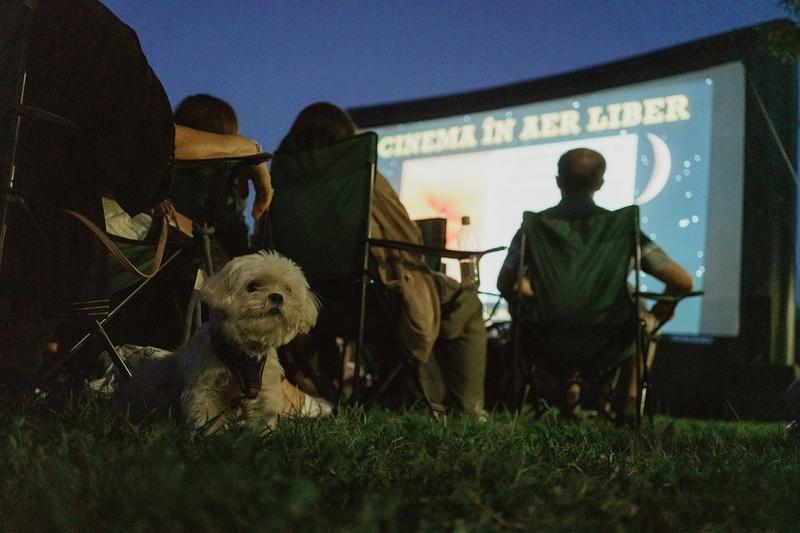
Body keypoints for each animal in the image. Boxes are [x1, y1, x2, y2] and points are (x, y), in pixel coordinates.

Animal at [115, 250, 318, 432]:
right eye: (253, 286)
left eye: (288, 290)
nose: (277, 296)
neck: (244, 353)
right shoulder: (204, 390)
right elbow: (207, 418)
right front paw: (211, 438)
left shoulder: (265, 392)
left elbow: (261, 420)